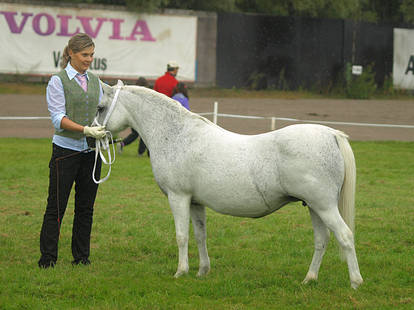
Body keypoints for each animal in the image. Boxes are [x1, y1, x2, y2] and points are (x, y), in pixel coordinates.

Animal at [96, 81, 362, 290]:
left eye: (100, 107)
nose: (92, 134)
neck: (177, 135)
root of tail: (331, 134)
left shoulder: (178, 197)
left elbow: (181, 236)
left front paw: (181, 271)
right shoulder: (195, 202)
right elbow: (200, 235)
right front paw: (202, 271)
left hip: (324, 206)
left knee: (345, 236)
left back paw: (355, 282)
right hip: (314, 207)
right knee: (322, 240)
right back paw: (309, 279)